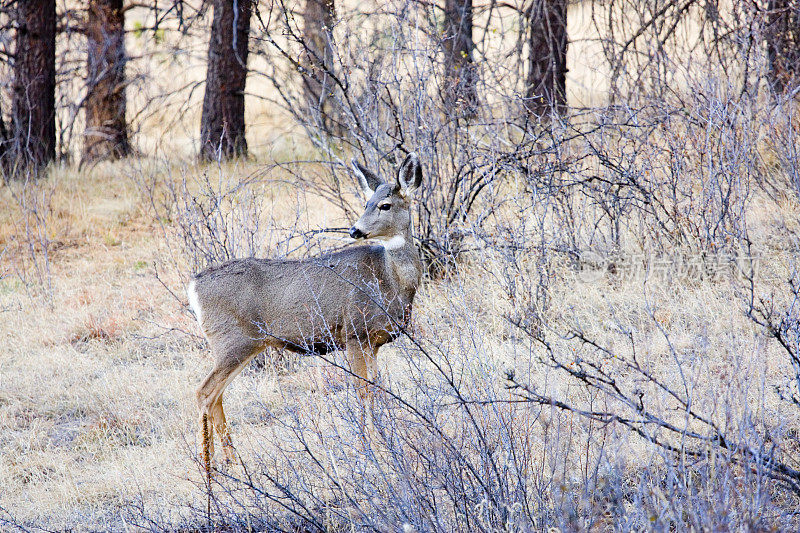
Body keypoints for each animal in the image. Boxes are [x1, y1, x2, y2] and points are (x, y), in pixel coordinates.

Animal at [188, 153, 424, 466]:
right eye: (367, 203)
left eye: (384, 205)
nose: (355, 230)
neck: (390, 280)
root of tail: (193, 287)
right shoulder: (354, 332)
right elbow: (363, 389)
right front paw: (370, 447)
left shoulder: (373, 342)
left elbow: (378, 386)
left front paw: (386, 437)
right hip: (234, 340)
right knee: (204, 392)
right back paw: (212, 464)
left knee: (215, 396)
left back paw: (231, 461)